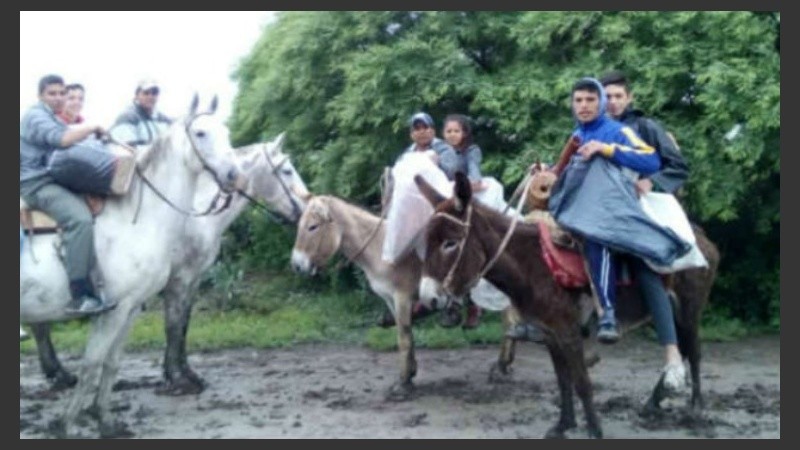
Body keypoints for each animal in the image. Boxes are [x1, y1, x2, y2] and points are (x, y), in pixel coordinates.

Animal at [20, 95, 244, 438]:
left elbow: (112, 363)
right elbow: (92, 365)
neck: (134, 219)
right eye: (201, 133)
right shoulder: (111, 311)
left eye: (227, 131)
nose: (234, 176)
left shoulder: (131, 308)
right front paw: (65, 424)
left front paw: (106, 420)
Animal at [26, 134, 311, 397]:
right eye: (287, 170)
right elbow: (174, 325)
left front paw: (182, 371)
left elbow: (183, 324)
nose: (304, 211)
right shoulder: (180, 279)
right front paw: (177, 377)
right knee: (40, 325)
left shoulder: (193, 279)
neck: (192, 215)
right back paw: (58, 374)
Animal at [290, 195, 432, 401]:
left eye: (312, 227)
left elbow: (404, 338)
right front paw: (409, 374)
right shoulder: (391, 299)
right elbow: (406, 335)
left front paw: (404, 383)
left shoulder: (402, 298)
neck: (381, 248)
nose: (296, 265)